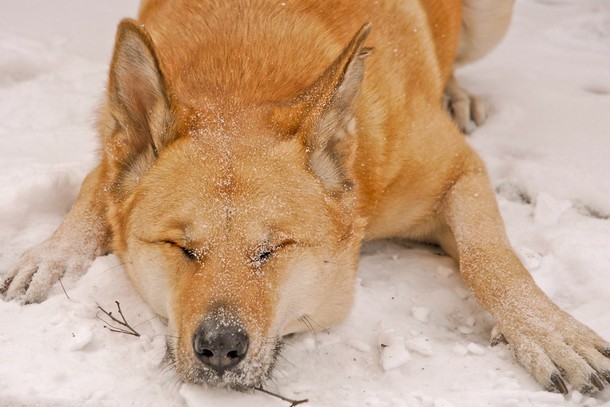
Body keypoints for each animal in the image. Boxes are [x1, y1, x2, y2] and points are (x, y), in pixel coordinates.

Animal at [1, 0, 608, 396]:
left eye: (274, 249)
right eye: (181, 248)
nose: (220, 346)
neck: (242, 78)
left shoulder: (459, 171)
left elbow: (489, 258)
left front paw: (549, 331)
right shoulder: (112, 155)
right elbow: (91, 193)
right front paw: (51, 257)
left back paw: (457, 92)